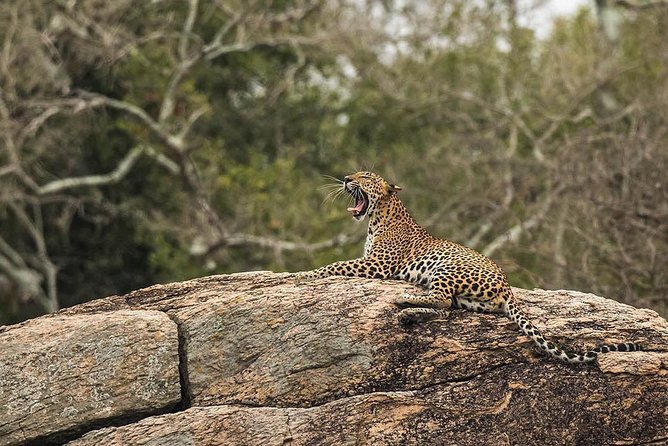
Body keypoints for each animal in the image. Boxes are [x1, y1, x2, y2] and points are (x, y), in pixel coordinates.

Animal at [296, 170, 640, 362]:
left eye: (365, 176)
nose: (346, 179)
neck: (378, 217)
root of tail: (507, 287)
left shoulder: (378, 264)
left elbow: (334, 265)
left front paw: (301, 274)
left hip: (447, 268)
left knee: (442, 299)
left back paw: (402, 301)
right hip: (468, 299)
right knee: (446, 308)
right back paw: (409, 313)